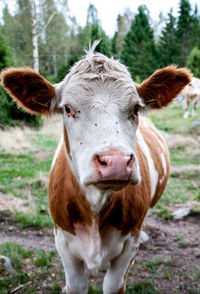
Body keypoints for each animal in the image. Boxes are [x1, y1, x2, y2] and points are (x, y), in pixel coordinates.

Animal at [0, 42, 191, 294]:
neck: (95, 206)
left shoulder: (129, 244)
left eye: (136, 109)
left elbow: (112, 284)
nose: (116, 162)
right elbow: (76, 285)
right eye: (68, 108)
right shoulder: (62, 241)